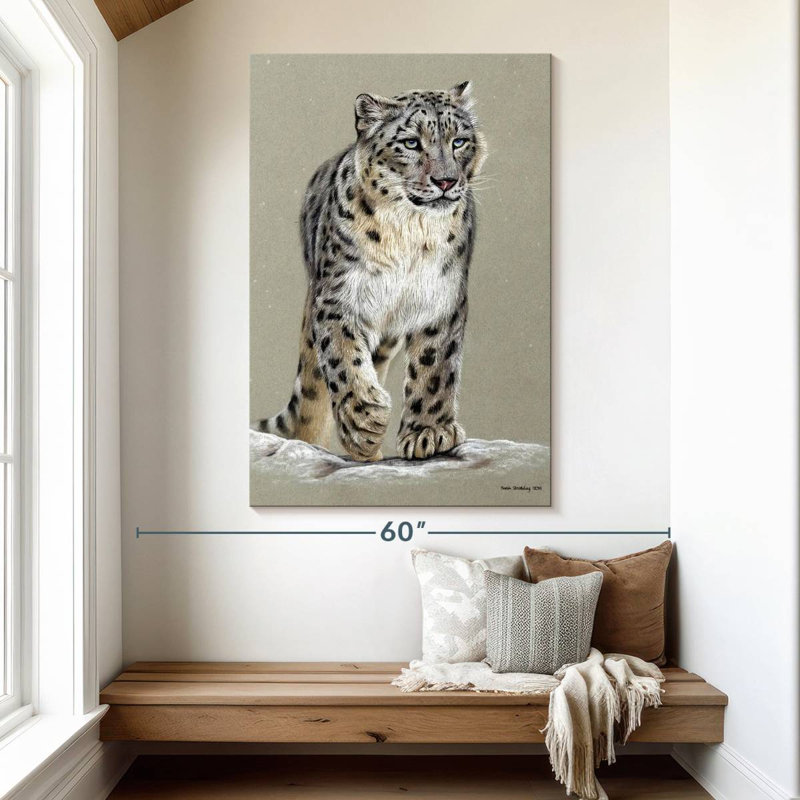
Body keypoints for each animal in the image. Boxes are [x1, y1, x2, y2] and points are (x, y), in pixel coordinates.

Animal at [255, 81, 488, 461]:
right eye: (411, 142)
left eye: (459, 141)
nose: (445, 181)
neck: (411, 232)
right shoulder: (339, 298)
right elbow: (344, 358)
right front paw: (365, 420)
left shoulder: (441, 298)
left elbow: (435, 367)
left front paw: (429, 432)